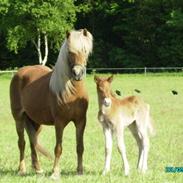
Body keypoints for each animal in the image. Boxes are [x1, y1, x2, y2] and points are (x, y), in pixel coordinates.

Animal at [9, 28, 93, 179]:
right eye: (70, 52)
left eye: (85, 50)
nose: (77, 73)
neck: (71, 91)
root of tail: (20, 72)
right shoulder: (59, 123)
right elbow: (58, 148)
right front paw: (55, 172)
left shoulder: (81, 121)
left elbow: (80, 147)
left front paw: (80, 171)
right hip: (18, 118)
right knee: (22, 143)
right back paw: (22, 169)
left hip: (36, 122)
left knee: (33, 141)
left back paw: (38, 169)